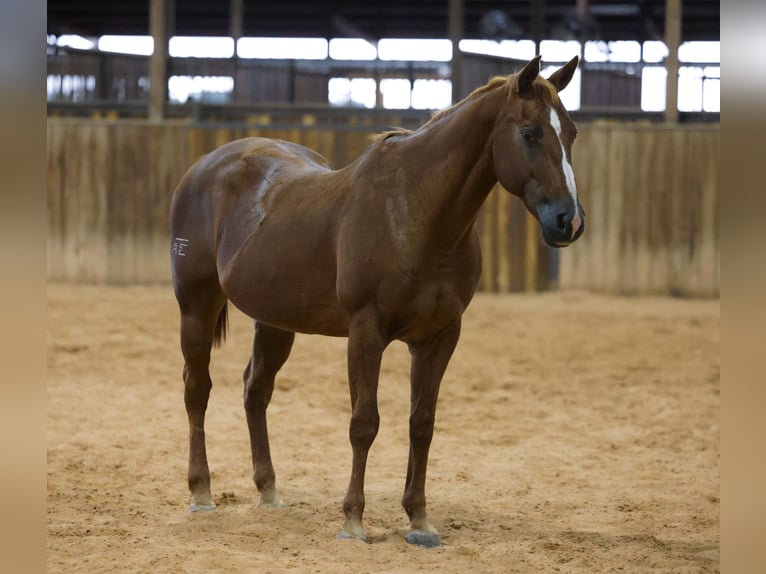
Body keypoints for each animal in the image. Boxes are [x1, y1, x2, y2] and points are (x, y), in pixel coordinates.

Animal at [170, 55, 584, 548]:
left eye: (571, 132)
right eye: (530, 132)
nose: (568, 221)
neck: (417, 213)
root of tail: (202, 168)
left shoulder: (440, 336)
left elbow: (422, 423)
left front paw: (420, 520)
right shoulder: (366, 332)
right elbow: (364, 423)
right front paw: (353, 520)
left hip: (275, 321)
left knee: (256, 391)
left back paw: (268, 491)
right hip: (196, 306)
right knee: (197, 391)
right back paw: (201, 492)